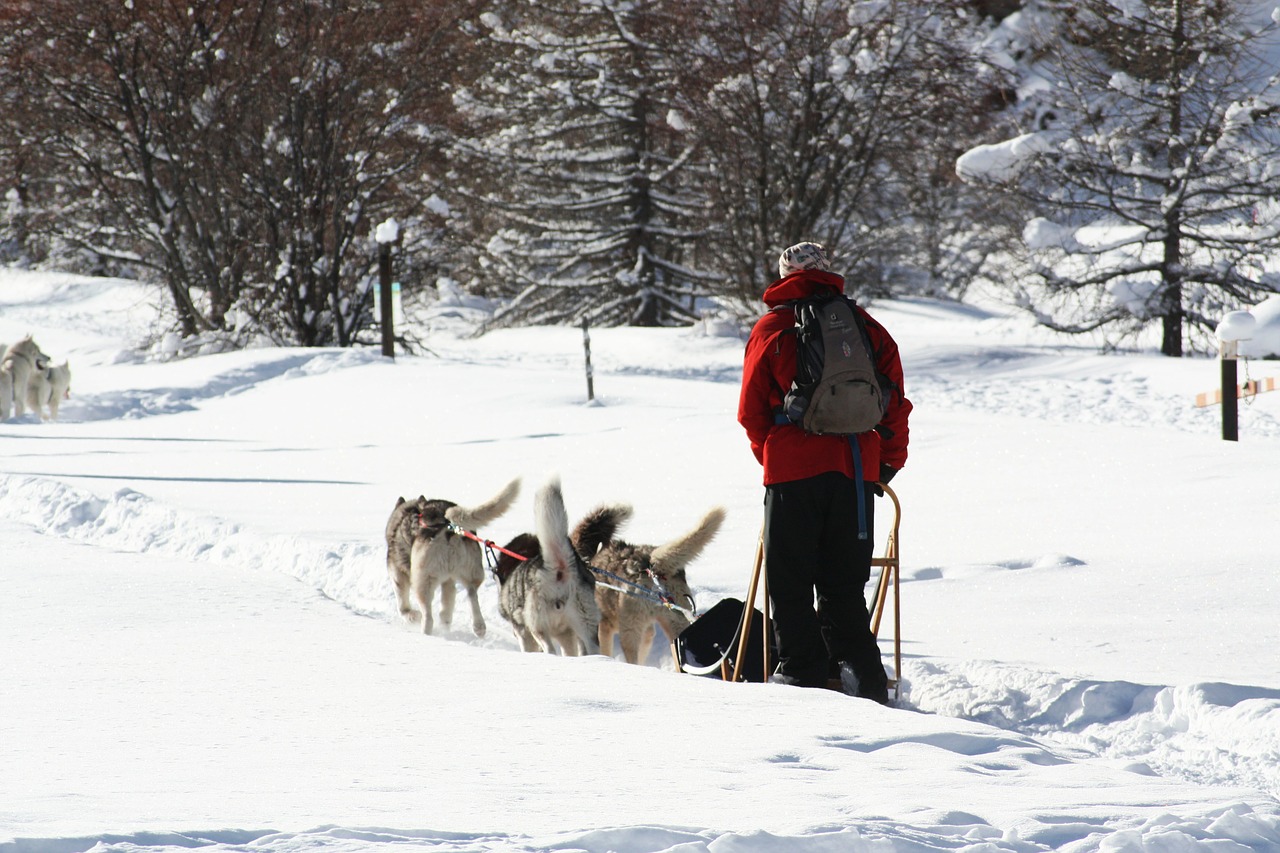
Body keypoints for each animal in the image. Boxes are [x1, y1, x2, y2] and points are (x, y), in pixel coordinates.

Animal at [384, 473, 519, 635]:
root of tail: (447, 526)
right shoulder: (448, 581)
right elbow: (446, 609)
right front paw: (445, 625)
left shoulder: (397, 575)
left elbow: (403, 608)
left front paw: (412, 617)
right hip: (471, 572)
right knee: (471, 593)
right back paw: (478, 626)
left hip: (423, 581)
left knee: (428, 614)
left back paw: (426, 632)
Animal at [494, 473, 604, 653]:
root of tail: (561, 568)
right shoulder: (567, 634)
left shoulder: (523, 632)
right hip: (586, 625)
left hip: (538, 627)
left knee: (550, 650)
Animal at [586, 504, 721, 666]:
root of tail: (652, 564)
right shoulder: (647, 632)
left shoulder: (604, 627)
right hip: (676, 624)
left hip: (630, 631)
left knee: (632, 658)